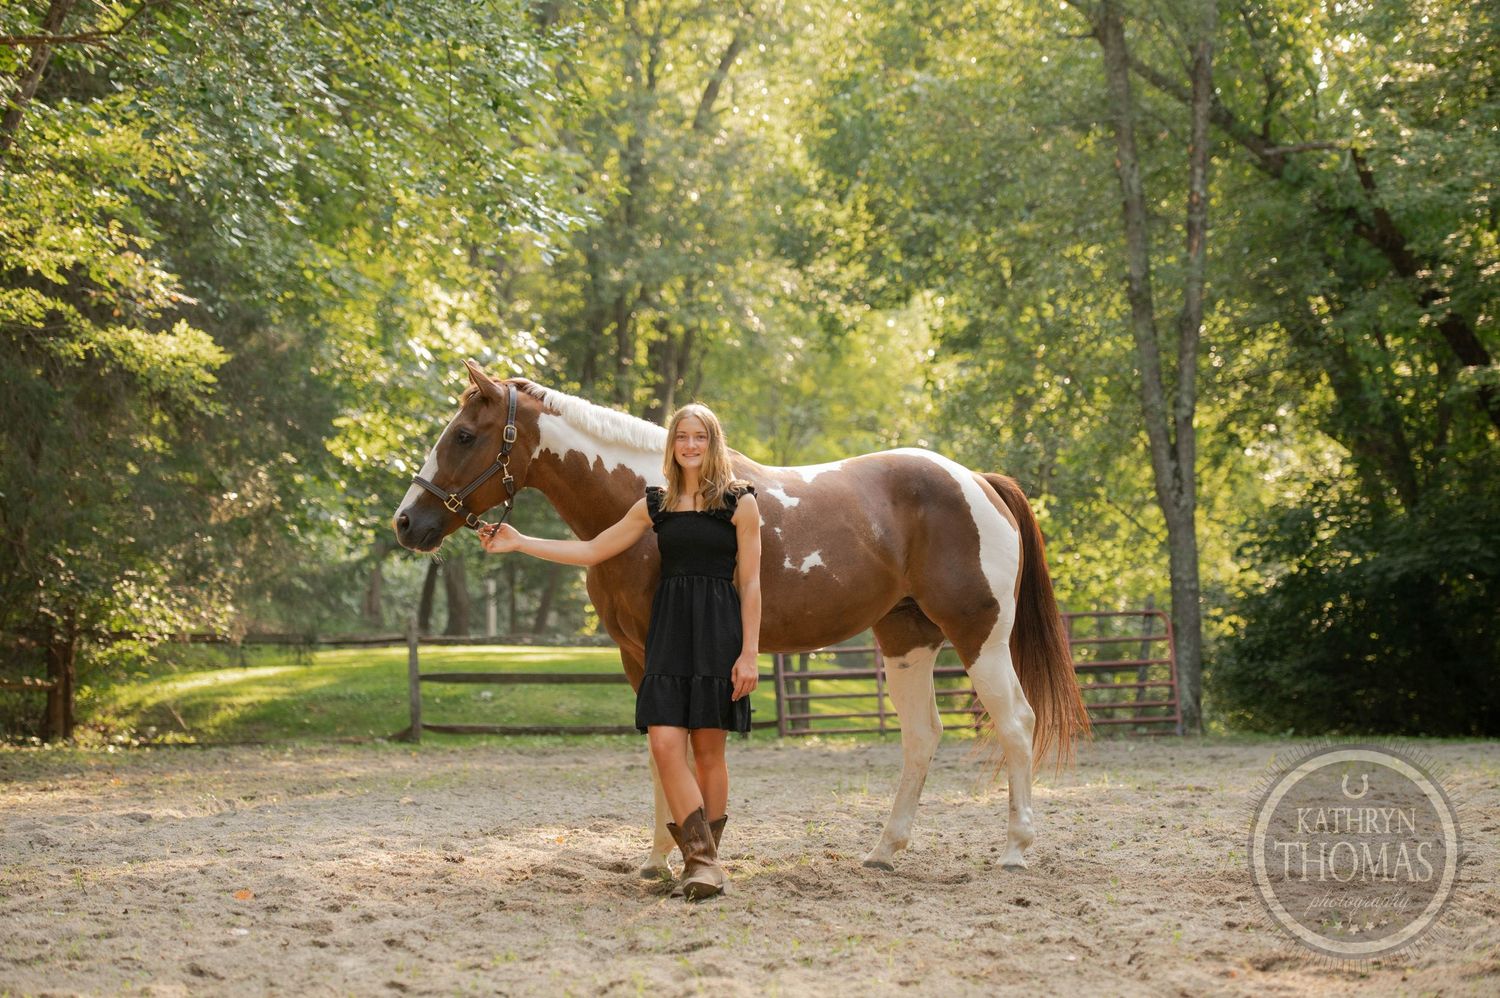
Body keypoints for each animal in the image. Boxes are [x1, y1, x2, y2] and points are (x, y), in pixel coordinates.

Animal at [393, 360, 1089, 874]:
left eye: (463, 435)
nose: (406, 522)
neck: (644, 505)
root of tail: (978, 481)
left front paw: (678, 859)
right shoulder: (636, 656)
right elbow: (659, 752)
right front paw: (659, 860)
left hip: (980, 639)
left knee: (1017, 725)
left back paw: (1015, 852)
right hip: (906, 641)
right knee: (922, 736)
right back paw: (884, 852)